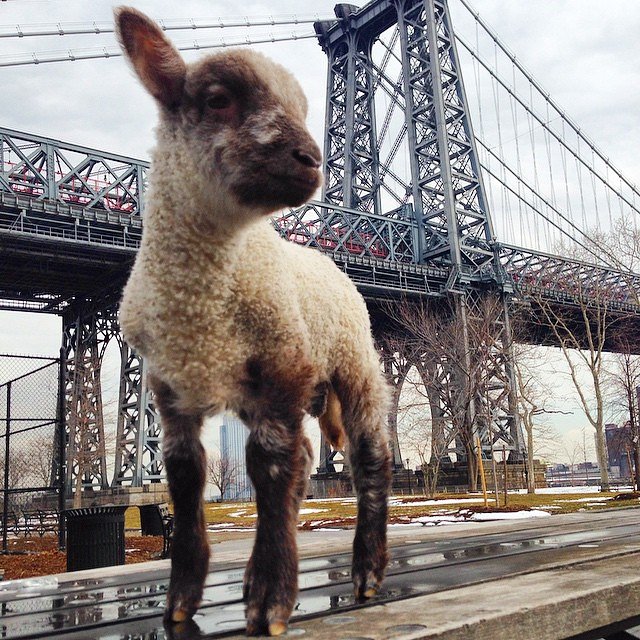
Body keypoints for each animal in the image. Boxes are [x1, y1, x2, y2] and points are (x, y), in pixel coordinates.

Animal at [114, 7, 392, 636]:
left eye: (303, 108)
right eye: (218, 100)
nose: (312, 160)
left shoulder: (283, 361)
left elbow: (266, 467)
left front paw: (269, 599)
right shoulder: (171, 388)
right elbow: (186, 479)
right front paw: (182, 601)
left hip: (352, 360)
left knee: (368, 454)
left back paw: (368, 571)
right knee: (307, 461)